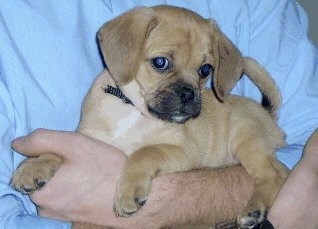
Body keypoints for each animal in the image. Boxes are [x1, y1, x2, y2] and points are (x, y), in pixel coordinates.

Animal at [11, 5, 288, 229]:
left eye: (205, 70)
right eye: (160, 63)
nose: (188, 94)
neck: (133, 108)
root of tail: (268, 114)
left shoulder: (183, 152)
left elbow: (144, 152)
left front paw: (129, 191)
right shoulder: (88, 137)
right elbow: (57, 148)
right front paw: (34, 165)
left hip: (246, 142)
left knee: (273, 176)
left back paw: (254, 210)